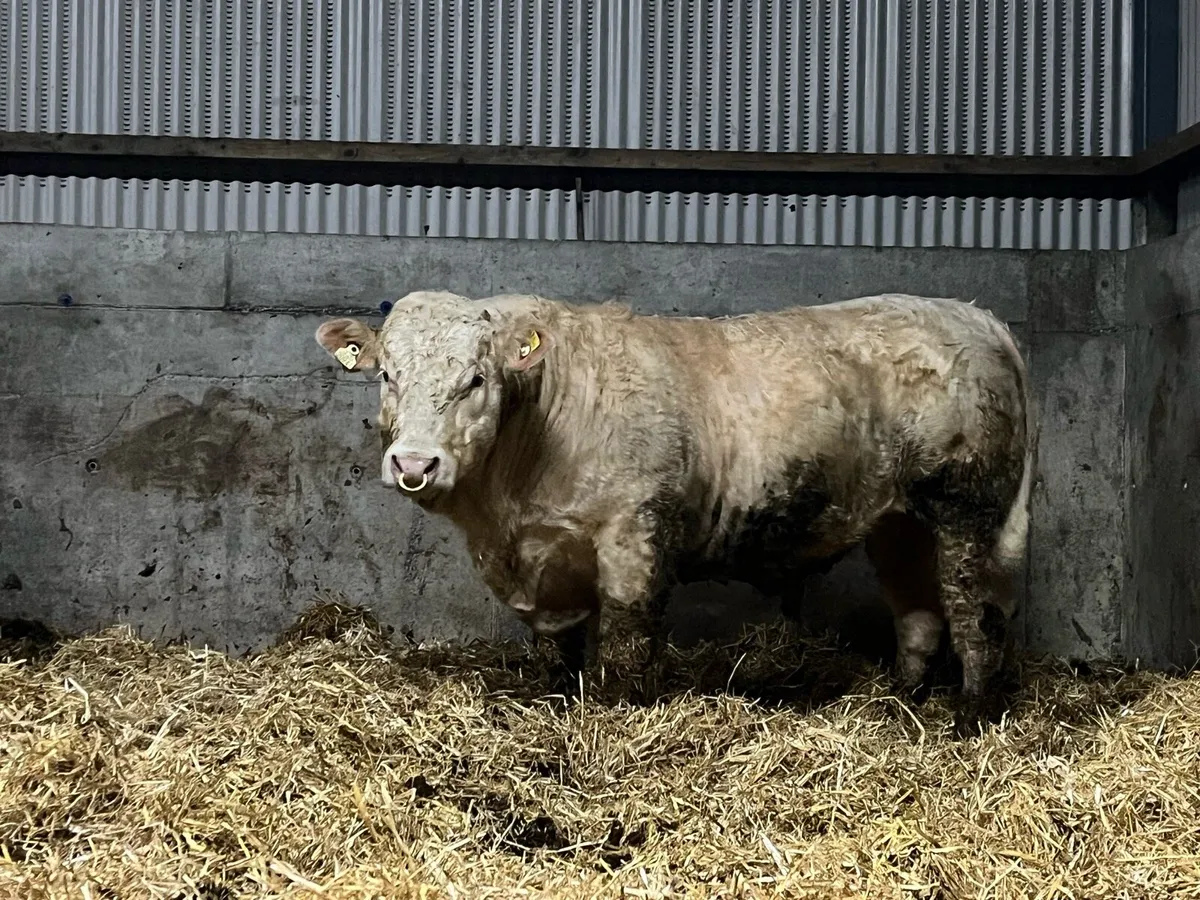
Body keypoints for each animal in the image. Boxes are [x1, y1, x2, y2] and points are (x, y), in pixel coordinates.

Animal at [315, 289, 1036, 734]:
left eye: (475, 379)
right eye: (387, 376)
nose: (415, 463)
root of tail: (978, 318)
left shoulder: (634, 535)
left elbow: (627, 642)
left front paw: (617, 719)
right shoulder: (546, 562)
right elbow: (557, 650)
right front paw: (555, 709)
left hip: (967, 510)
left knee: (975, 616)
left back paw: (967, 721)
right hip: (899, 522)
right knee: (918, 616)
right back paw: (900, 707)